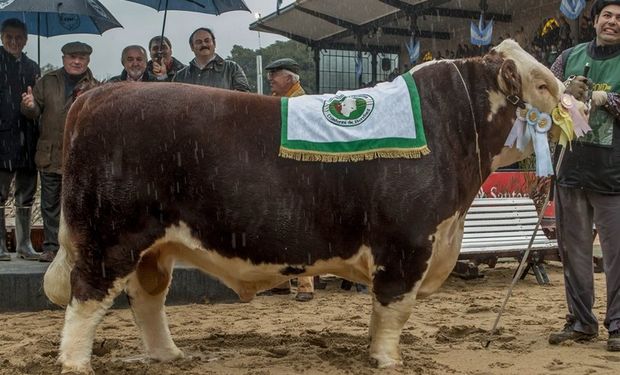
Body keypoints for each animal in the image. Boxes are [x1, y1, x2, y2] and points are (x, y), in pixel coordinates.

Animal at [43, 39, 560, 374]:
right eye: (542, 84)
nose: (572, 104)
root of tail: (100, 93)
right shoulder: (407, 243)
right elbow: (393, 309)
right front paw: (389, 361)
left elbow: (383, 312)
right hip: (110, 235)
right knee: (87, 297)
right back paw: (76, 364)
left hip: (153, 247)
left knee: (147, 298)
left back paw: (168, 356)